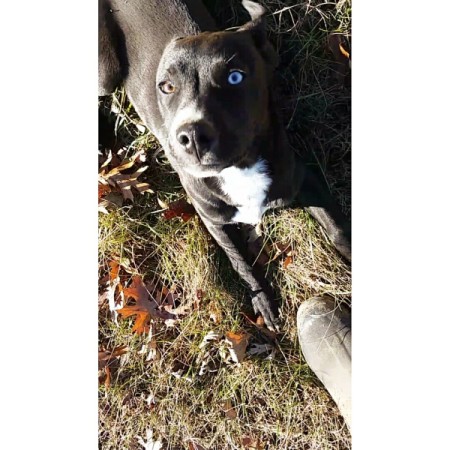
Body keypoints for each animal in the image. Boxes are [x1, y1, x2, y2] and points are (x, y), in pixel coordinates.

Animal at [99, 0, 352, 330]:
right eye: (166, 87)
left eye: (235, 77)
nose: (192, 136)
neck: (239, 169)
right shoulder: (212, 219)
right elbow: (239, 260)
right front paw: (263, 300)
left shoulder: (304, 178)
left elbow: (338, 229)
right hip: (105, 76)